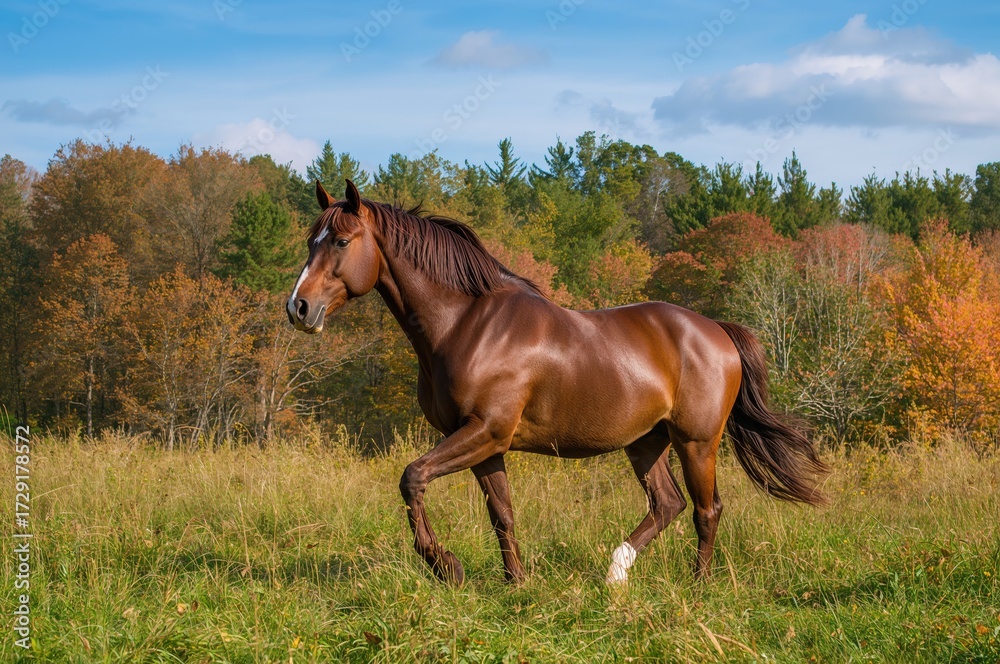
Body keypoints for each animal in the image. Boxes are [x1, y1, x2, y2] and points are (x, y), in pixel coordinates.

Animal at [287, 179, 828, 585]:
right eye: (311, 241)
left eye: (340, 241)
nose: (299, 308)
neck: (466, 324)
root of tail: (717, 330)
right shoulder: (485, 443)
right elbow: (502, 513)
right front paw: (516, 584)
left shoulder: (484, 432)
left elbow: (412, 478)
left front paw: (447, 568)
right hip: (645, 442)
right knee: (667, 504)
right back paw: (616, 574)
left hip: (696, 442)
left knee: (705, 509)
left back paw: (698, 586)